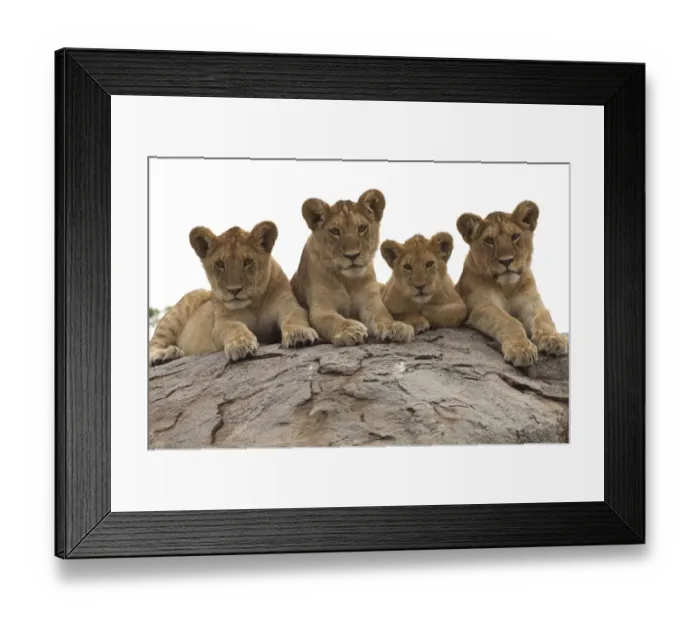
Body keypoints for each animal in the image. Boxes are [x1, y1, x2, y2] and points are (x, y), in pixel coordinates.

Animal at [149, 220, 319, 366]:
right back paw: (165, 354)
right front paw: (240, 345)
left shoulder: (289, 305)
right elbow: (234, 327)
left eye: (247, 262)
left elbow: (294, 316)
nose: (234, 290)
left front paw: (299, 334)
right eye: (220, 264)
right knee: (154, 344)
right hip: (179, 311)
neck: (255, 304)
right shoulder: (222, 322)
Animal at [290, 189, 414, 347]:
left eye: (361, 228)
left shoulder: (371, 302)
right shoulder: (321, 309)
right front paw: (350, 330)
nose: (352, 255)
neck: (348, 280)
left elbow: (383, 315)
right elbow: (333, 319)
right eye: (335, 231)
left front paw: (396, 327)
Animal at [455, 200, 568, 367]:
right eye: (489, 240)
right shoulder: (482, 306)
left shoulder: (532, 302)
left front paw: (553, 339)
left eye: (515, 236)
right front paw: (522, 349)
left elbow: (544, 317)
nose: (506, 261)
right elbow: (508, 321)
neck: (507, 287)